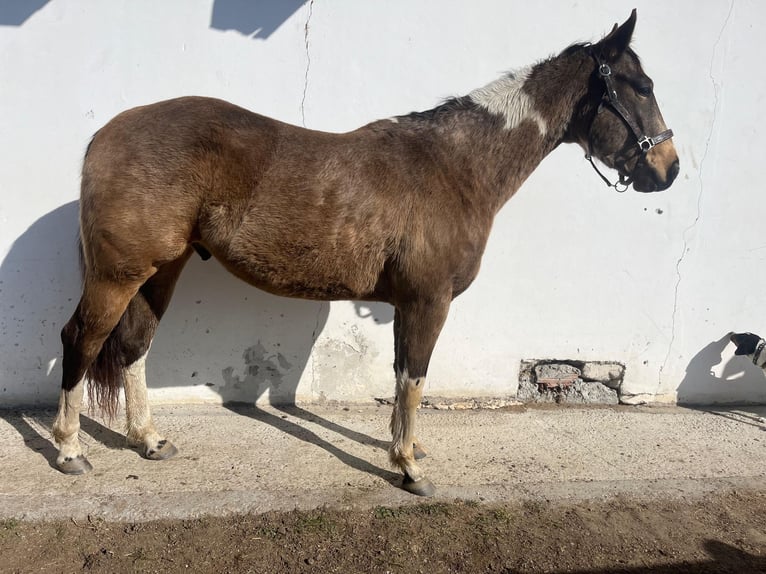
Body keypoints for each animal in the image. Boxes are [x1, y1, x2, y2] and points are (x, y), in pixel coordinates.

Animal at [52, 11, 680, 500]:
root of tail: (108, 132)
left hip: (161, 271)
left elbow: (405, 378)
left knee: (133, 346)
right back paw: (69, 451)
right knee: (81, 340)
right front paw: (408, 469)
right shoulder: (428, 302)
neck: (456, 167)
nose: (668, 169)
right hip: (118, 275)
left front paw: (409, 448)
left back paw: (149, 441)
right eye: (641, 85)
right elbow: (415, 377)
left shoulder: (408, 304)